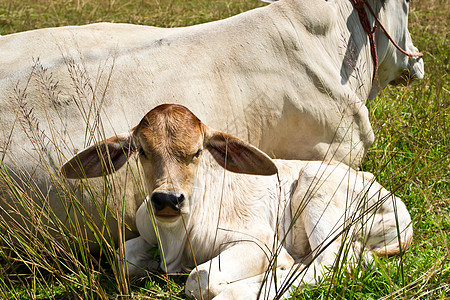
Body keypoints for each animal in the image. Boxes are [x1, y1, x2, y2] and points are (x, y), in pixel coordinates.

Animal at [61, 103, 414, 298]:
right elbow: (122, 259)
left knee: (332, 263)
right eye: (142, 151)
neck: (177, 237)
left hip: (318, 189)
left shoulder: (257, 243)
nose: (167, 199)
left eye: (197, 152)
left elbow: (199, 279)